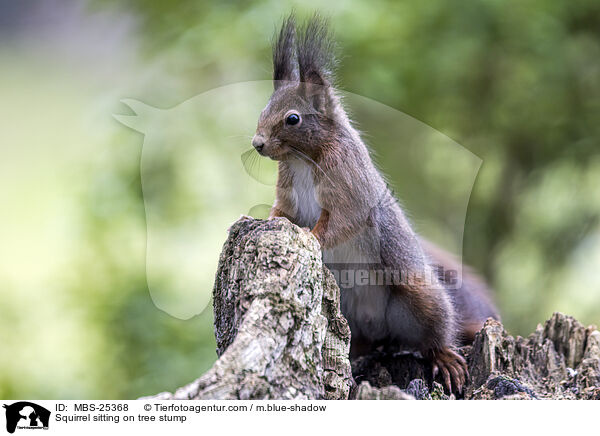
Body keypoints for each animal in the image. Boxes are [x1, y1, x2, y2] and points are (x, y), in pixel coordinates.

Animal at [251, 15, 500, 394]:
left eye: (293, 118)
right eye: (264, 109)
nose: (257, 143)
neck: (302, 159)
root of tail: (380, 330)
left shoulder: (350, 190)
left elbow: (339, 223)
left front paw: (311, 238)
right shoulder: (288, 194)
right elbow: (283, 213)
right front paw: (266, 222)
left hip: (417, 294)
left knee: (435, 332)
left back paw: (444, 356)